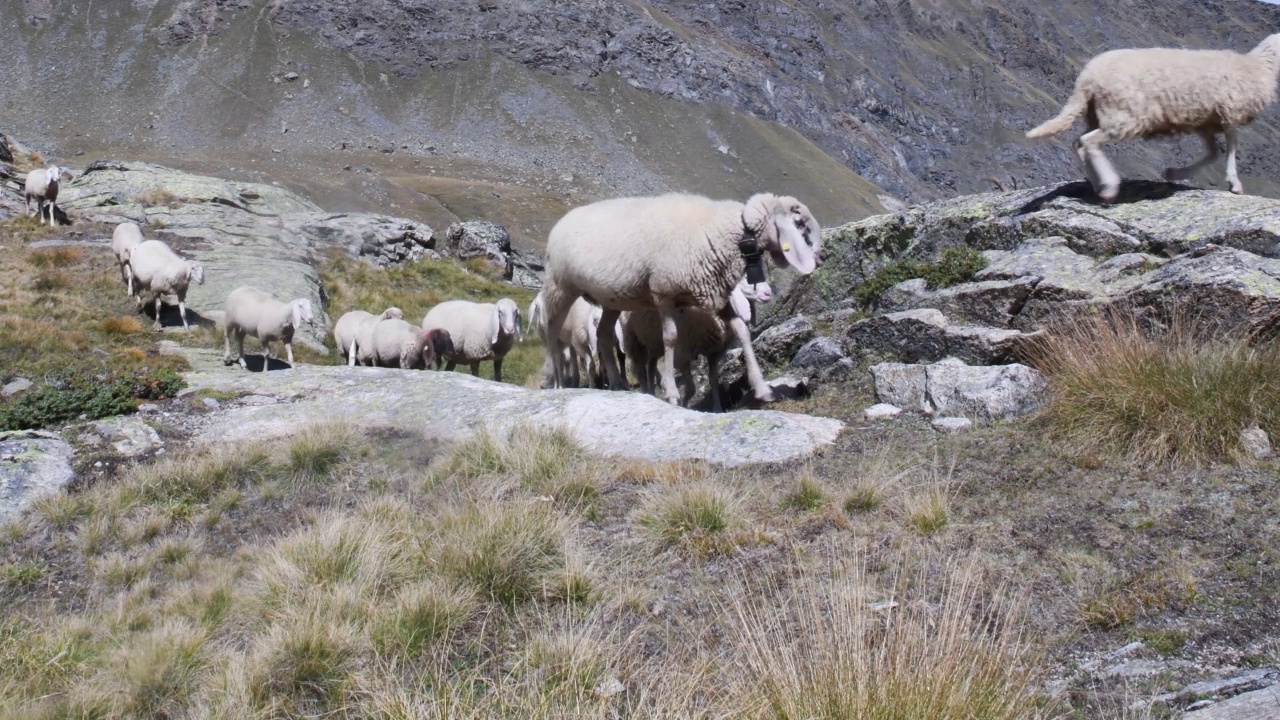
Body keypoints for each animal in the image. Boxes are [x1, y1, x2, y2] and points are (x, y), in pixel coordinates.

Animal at [540, 190, 819, 404]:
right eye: (800, 223)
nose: (820, 254)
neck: (724, 232)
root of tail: (562, 221)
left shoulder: (715, 294)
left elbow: (741, 330)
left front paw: (762, 389)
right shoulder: (664, 293)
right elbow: (671, 338)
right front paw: (673, 393)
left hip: (611, 300)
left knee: (604, 336)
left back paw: (618, 383)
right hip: (560, 286)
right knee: (553, 333)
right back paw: (557, 381)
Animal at [1024, 32, 1280, 199]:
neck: (1261, 66)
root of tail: (1087, 78)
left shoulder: (1206, 121)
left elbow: (1213, 153)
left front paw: (1175, 173)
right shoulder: (1229, 113)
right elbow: (1231, 148)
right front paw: (1234, 183)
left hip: (1096, 114)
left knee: (1078, 142)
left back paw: (1098, 185)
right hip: (1124, 116)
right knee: (1087, 142)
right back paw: (1110, 186)